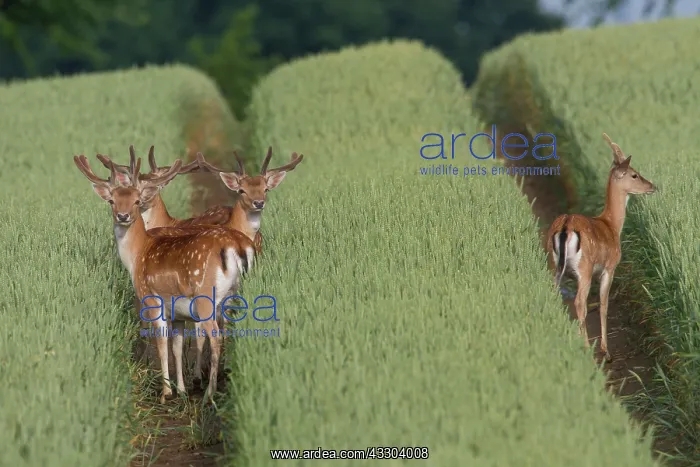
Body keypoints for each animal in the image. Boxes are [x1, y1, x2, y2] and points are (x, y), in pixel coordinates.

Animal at [74, 152, 256, 403]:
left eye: (137, 201)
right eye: (112, 201)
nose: (123, 216)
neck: (137, 254)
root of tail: (237, 245)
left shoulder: (151, 297)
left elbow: (161, 342)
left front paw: (166, 392)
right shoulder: (177, 312)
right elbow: (176, 345)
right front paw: (181, 390)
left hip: (205, 297)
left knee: (215, 336)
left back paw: (209, 394)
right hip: (237, 294)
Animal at [547, 133, 657, 362]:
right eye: (634, 174)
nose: (652, 186)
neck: (612, 225)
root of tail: (565, 226)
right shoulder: (609, 268)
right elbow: (603, 306)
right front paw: (606, 350)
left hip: (552, 264)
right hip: (585, 269)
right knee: (579, 302)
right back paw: (587, 348)